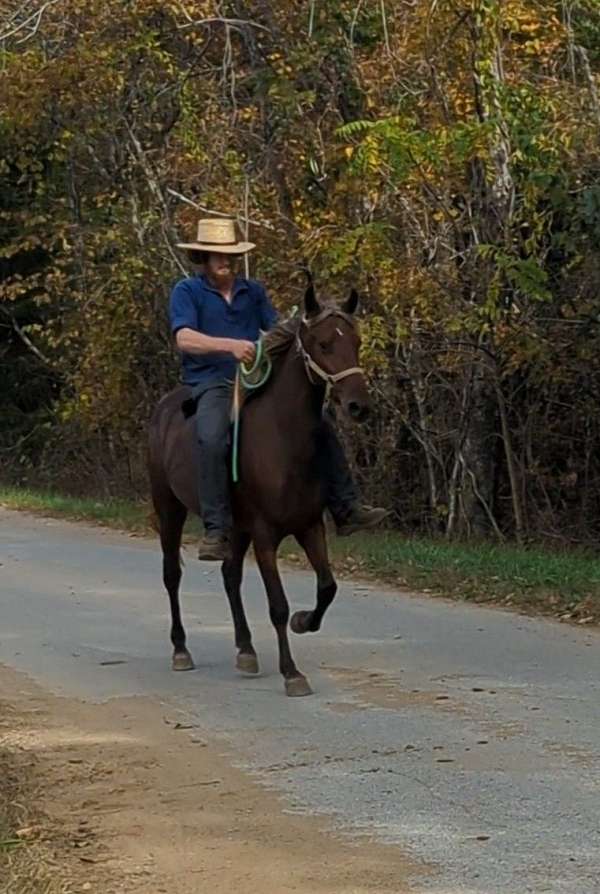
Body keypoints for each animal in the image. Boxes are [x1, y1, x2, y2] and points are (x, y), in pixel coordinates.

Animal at [148, 288, 372, 700]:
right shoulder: (266, 534)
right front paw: (292, 673)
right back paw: (181, 650)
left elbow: (327, 587)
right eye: (323, 343)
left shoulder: (309, 526)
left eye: (356, 342)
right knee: (172, 575)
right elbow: (277, 606)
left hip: (236, 528)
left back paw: (246, 650)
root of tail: (165, 407)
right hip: (169, 508)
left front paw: (304, 621)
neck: (283, 439)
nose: (358, 406)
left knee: (230, 575)